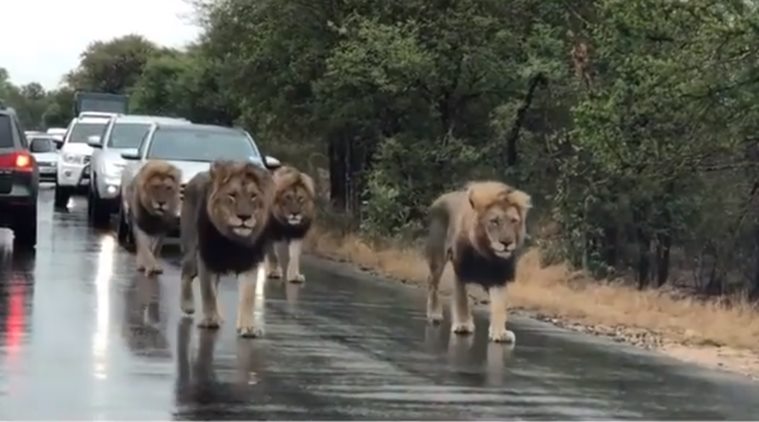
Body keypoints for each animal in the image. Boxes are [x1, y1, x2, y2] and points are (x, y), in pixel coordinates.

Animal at [180, 160, 274, 338]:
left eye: (253, 196)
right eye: (232, 195)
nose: (244, 217)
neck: (233, 239)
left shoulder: (250, 262)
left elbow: (248, 296)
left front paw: (248, 327)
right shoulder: (206, 258)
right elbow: (207, 292)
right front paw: (210, 320)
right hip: (191, 250)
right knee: (186, 274)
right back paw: (188, 305)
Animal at [424, 181, 532, 342]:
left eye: (513, 221)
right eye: (494, 221)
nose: (506, 243)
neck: (486, 253)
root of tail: (441, 198)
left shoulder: (499, 276)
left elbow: (499, 305)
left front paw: (500, 332)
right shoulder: (461, 269)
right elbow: (462, 299)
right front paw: (463, 324)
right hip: (438, 259)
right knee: (433, 284)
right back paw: (434, 314)